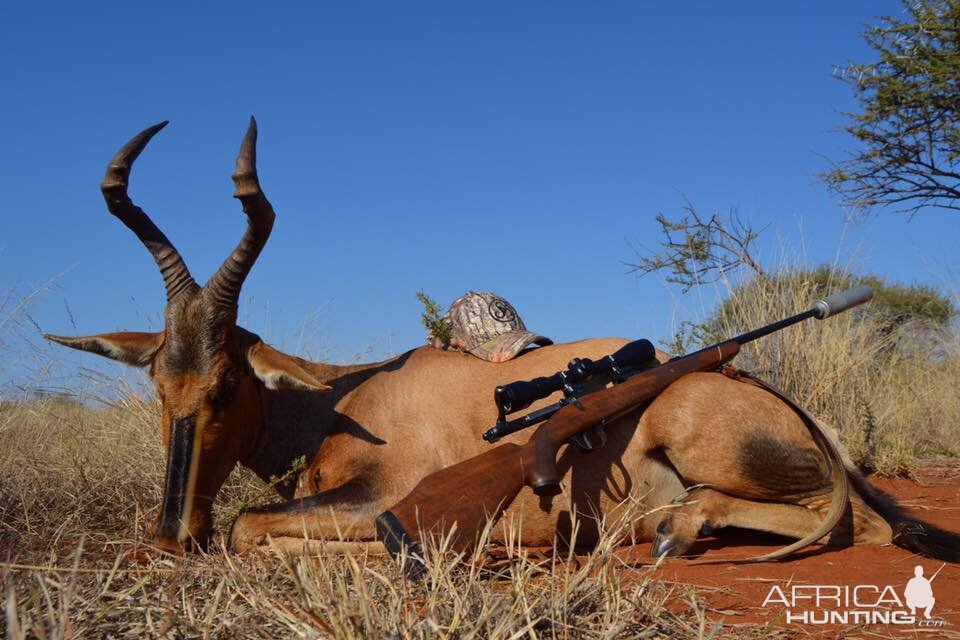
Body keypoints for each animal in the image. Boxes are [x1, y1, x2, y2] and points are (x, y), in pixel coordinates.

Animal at [48, 119, 960, 560]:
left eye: (228, 385)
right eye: (159, 383)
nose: (173, 535)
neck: (352, 397)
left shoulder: (385, 501)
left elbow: (252, 529)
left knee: (864, 527)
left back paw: (668, 528)